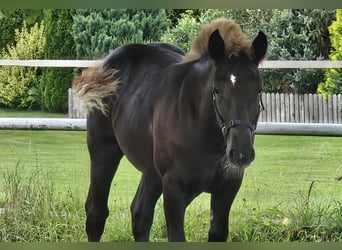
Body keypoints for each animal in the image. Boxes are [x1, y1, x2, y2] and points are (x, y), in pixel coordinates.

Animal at [74, 18, 268, 242]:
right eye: (217, 91)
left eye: (258, 91)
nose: (241, 153)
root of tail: (106, 65)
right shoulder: (174, 190)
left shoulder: (227, 189)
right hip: (103, 152)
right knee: (96, 212)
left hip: (151, 171)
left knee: (140, 213)